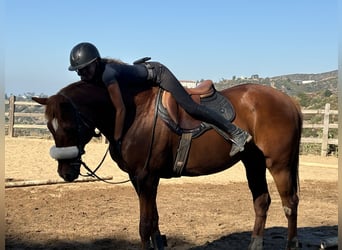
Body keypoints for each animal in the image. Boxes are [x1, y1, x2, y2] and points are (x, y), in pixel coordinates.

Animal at [32, 80, 302, 250]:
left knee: (290, 204)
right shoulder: (139, 180)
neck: (133, 114)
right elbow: (154, 221)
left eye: (69, 126)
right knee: (262, 201)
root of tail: (289, 101)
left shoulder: (147, 177)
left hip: (279, 165)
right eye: (49, 127)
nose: (65, 172)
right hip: (253, 162)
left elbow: (145, 225)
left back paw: (291, 244)